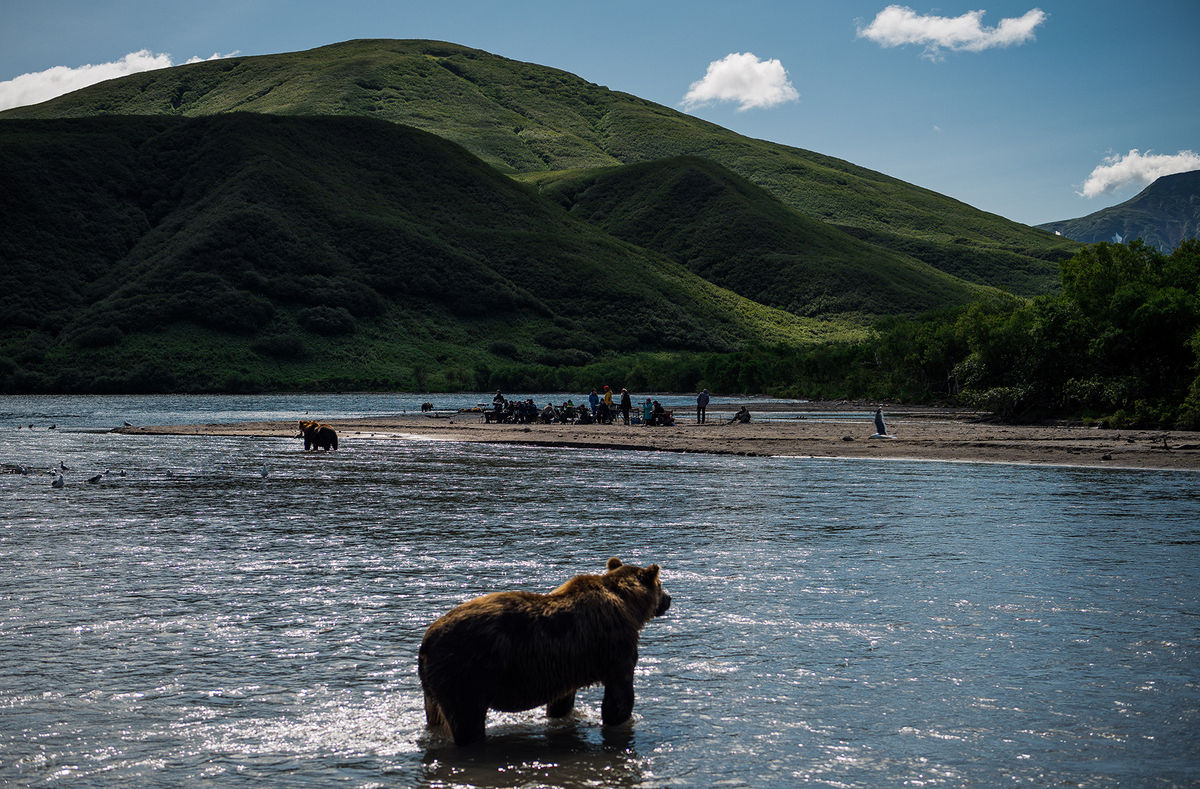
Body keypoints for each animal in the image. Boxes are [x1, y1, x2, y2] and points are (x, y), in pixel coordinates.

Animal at [417, 553, 672, 743]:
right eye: (661, 584)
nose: (669, 599)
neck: (629, 606)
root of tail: (427, 640)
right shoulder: (613, 646)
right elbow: (619, 695)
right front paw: (620, 719)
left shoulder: (568, 664)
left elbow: (562, 701)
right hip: (466, 671)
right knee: (467, 719)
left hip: (433, 686)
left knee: (435, 717)